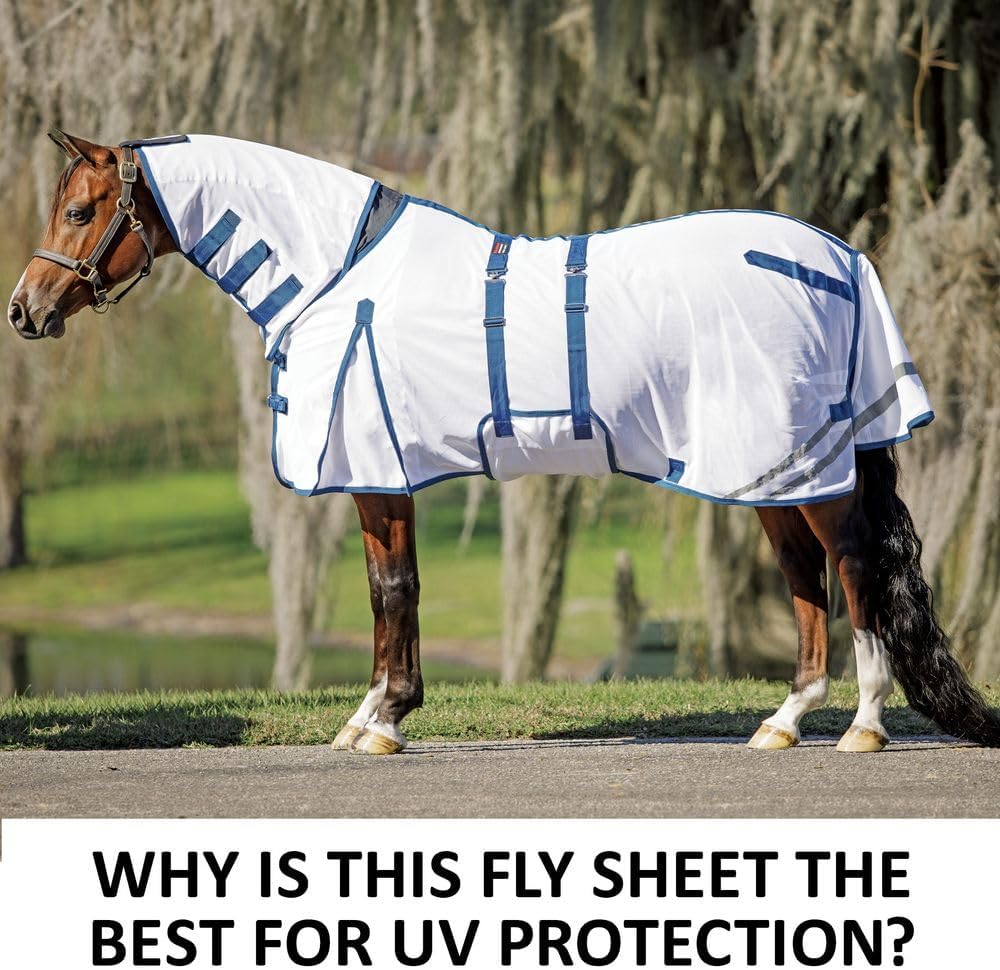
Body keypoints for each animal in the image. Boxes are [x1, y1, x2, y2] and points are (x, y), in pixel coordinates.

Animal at [8, 129, 1000, 755]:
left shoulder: (377, 470)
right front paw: (368, 716)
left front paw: (386, 722)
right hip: (772, 471)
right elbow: (386, 591)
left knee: (854, 570)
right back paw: (784, 722)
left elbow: (394, 591)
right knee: (804, 578)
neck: (342, 272)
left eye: (81, 210)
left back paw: (863, 727)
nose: (25, 310)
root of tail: (838, 255)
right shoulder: (380, 476)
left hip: (808, 466)